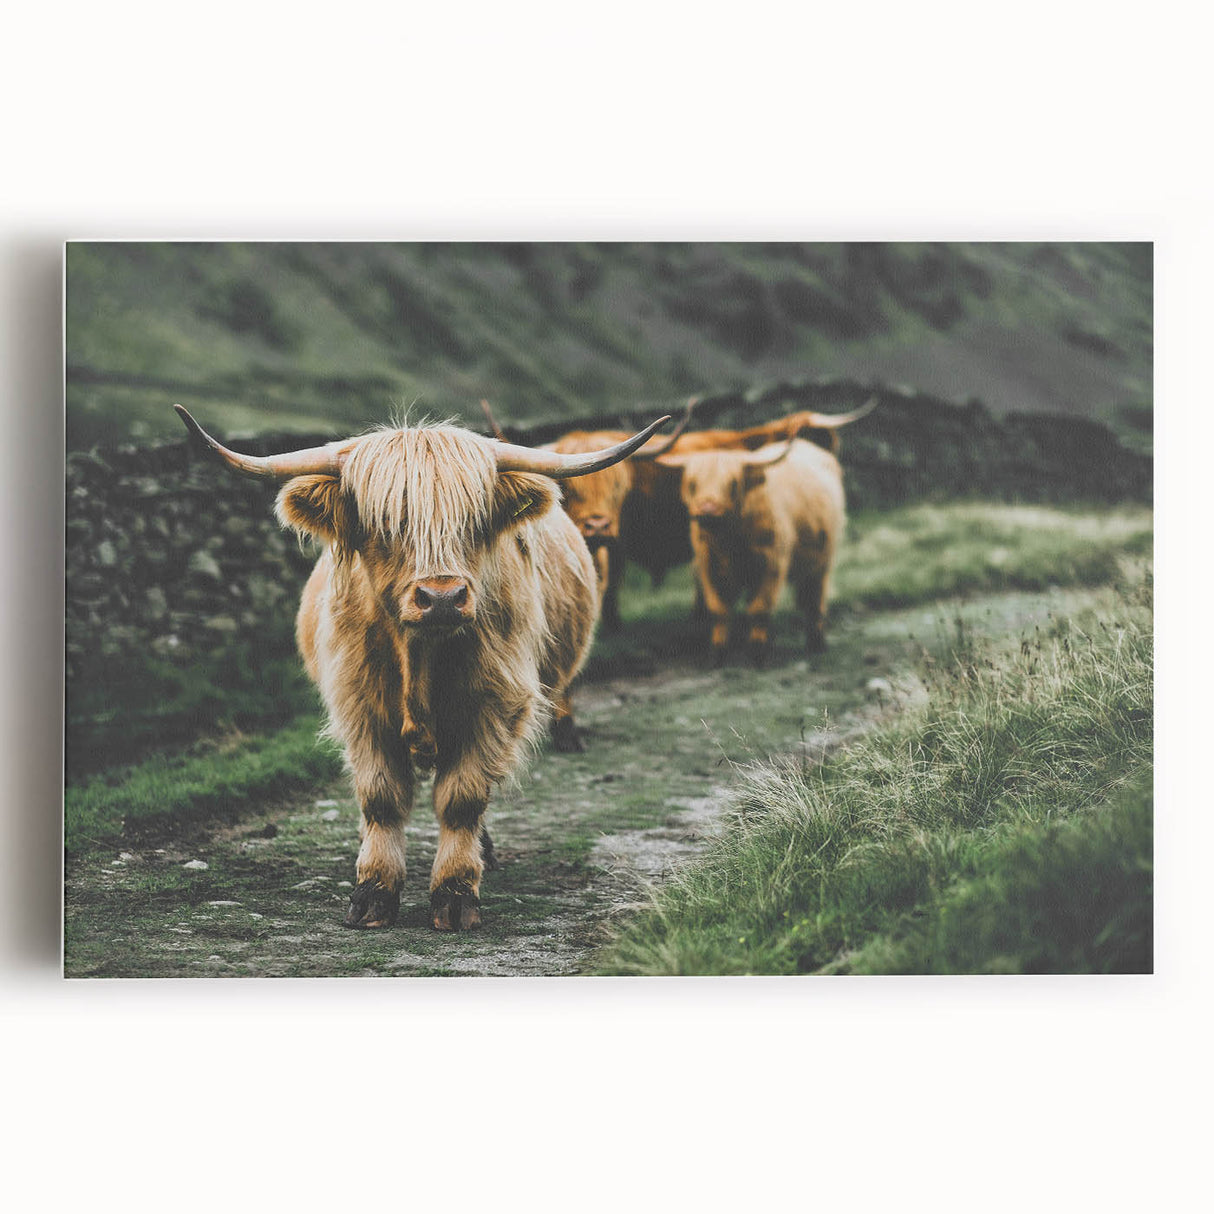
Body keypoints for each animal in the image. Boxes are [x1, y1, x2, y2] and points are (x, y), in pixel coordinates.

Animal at [172, 404, 670, 931]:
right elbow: (381, 798)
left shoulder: (494, 707)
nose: (443, 597)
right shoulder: (359, 708)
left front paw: (455, 894)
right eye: (385, 523)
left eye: (475, 521)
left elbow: (463, 798)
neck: (420, 658)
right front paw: (372, 892)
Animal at [651, 437, 846, 665]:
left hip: (823, 560)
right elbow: (719, 610)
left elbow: (759, 608)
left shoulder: (772, 564)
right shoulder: (709, 567)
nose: (707, 509)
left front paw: (757, 654)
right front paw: (717, 654)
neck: (729, 542)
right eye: (692, 483)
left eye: (733, 483)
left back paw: (816, 642)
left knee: (814, 599)